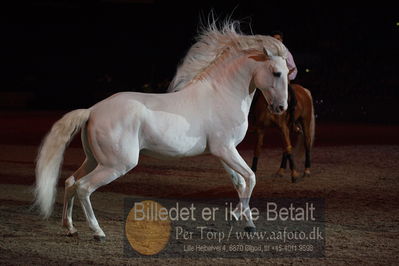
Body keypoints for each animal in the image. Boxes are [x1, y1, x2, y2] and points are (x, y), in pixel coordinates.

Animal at [34, 21, 290, 241]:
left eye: (287, 73)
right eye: (277, 73)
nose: (281, 108)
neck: (221, 94)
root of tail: (93, 110)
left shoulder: (223, 152)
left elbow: (240, 183)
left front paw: (247, 224)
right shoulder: (225, 149)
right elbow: (251, 177)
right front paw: (237, 217)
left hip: (94, 160)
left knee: (70, 182)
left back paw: (70, 228)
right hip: (116, 165)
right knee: (84, 187)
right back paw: (97, 232)